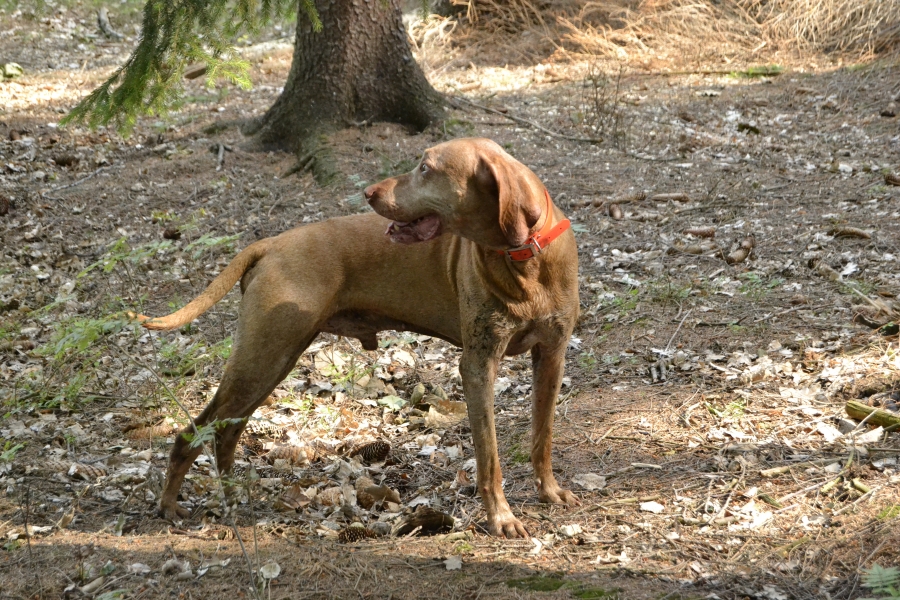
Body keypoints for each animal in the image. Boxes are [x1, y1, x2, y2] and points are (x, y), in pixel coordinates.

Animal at [137, 137, 580, 538]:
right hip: (262, 358)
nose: (369, 193)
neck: (524, 257)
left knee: (227, 431)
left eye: (425, 168)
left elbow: (542, 436)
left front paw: (549, 491)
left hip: (272, 360)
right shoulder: (478, 365)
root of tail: (271, 244)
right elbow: (489, 458)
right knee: (193, 432)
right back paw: (170, 504)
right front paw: (501, 519)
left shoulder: (552, 355)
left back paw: (234, 496)